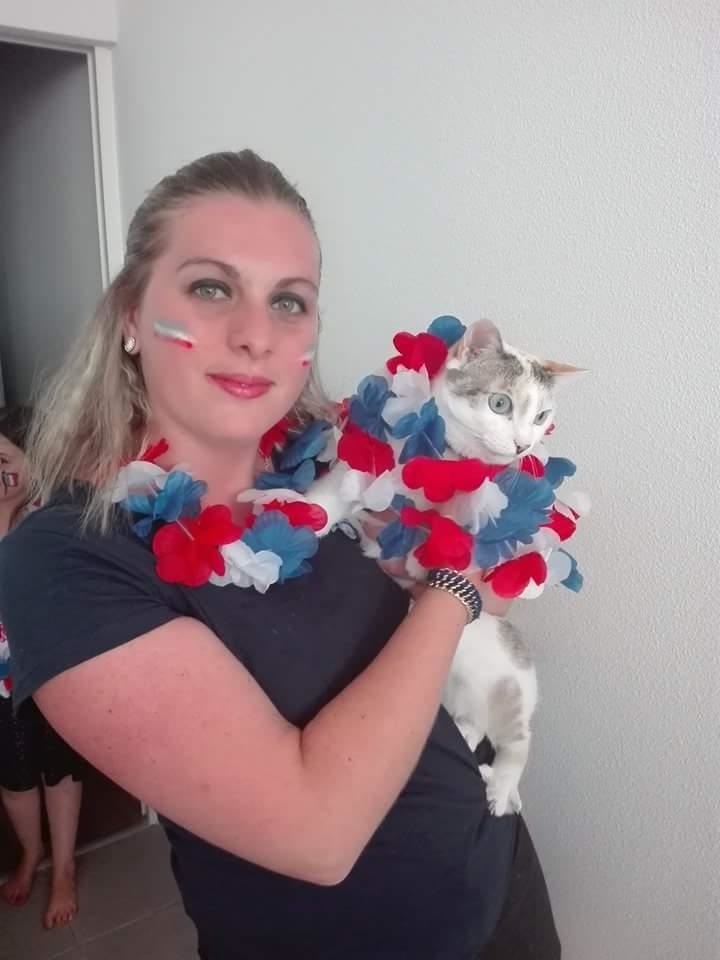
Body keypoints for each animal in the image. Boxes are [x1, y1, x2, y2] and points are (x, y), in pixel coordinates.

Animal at [309, 318, 582, 815]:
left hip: (511, 689)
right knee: (471, 725)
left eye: (542, 417)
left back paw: (499, 788)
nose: (523, 444)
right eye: (500, 403)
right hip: (456, 697)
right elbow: (330, 496)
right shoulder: (367, 469)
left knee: (518, 741)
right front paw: (290, 514)